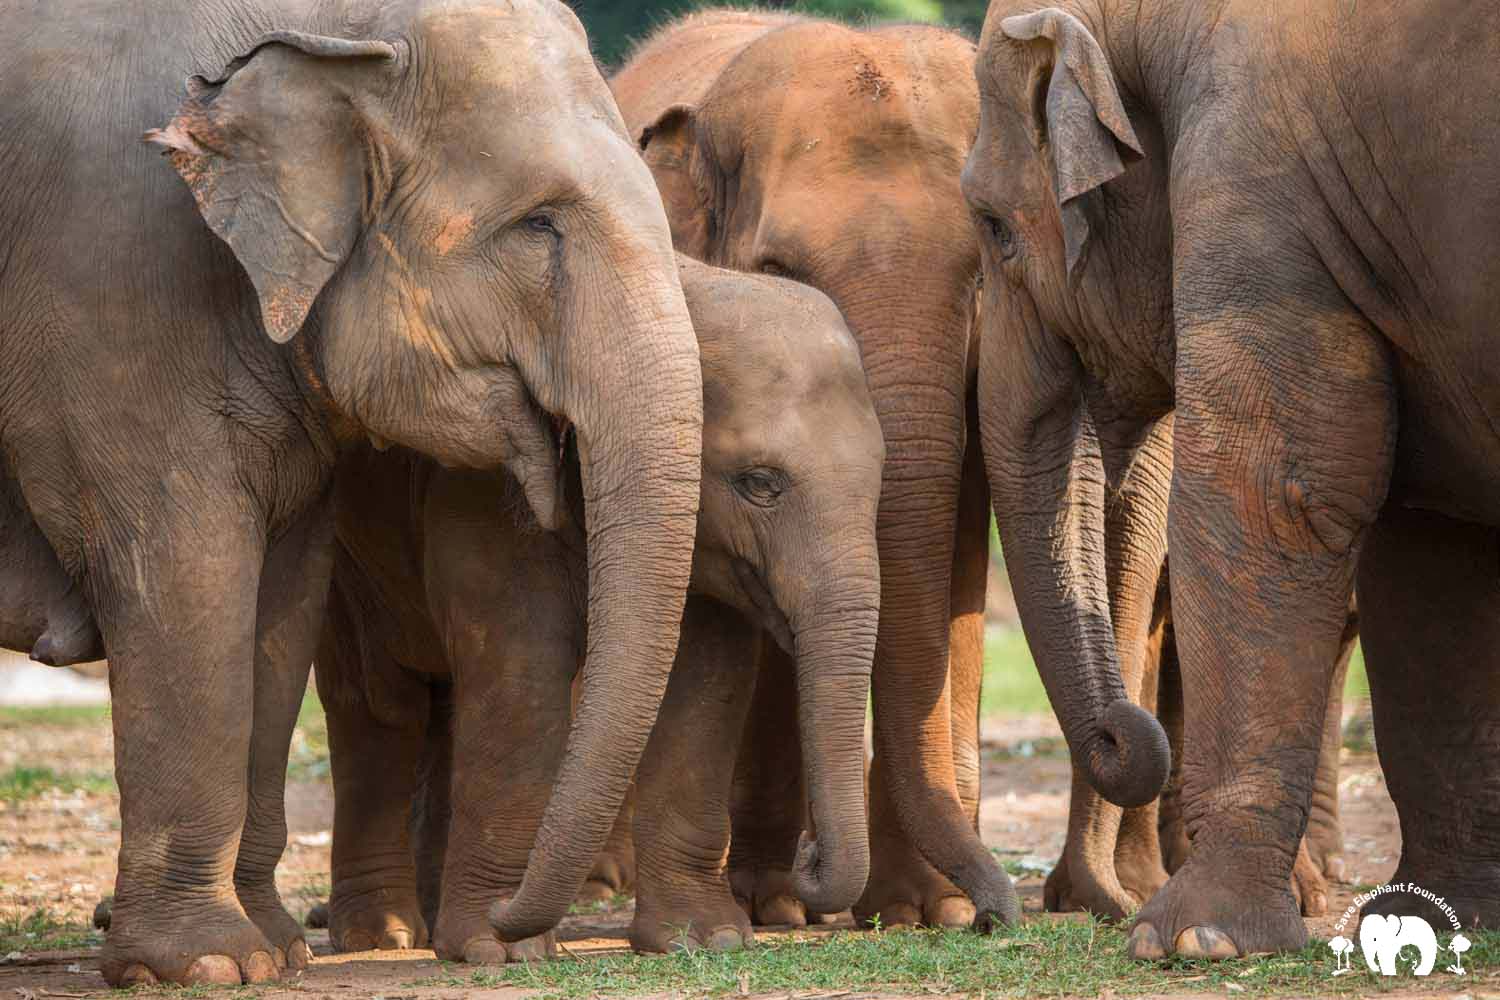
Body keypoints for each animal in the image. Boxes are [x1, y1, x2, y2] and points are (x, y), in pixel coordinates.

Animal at [0, 0, 705, 985]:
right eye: (539, 226)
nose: (512, 927)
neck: (339, 29)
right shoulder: (111, 287)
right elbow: (186, 581)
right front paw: (209, 966)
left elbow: (280, 609)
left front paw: (279, 952)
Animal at [311, 255, 884, 960]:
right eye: (759, 483)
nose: (807, 856)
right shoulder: (484, 492)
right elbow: (520, 669)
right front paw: (499, 946)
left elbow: (707, 679)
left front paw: (706, 938)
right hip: (350, 560)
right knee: (377, 703)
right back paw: (384, 933)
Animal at [610, 9, 1017, 932]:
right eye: (781, 271)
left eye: (982, 269)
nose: (994, 913)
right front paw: (776, 900)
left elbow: (956, 578)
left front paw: (925, 911)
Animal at [963, 0, 1500, 960]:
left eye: (992, 225)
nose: (1122, 732)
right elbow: (1434, 550)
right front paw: (1439, 919)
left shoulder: (1258, 175)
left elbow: (1270, 495)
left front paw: (1193, 941)